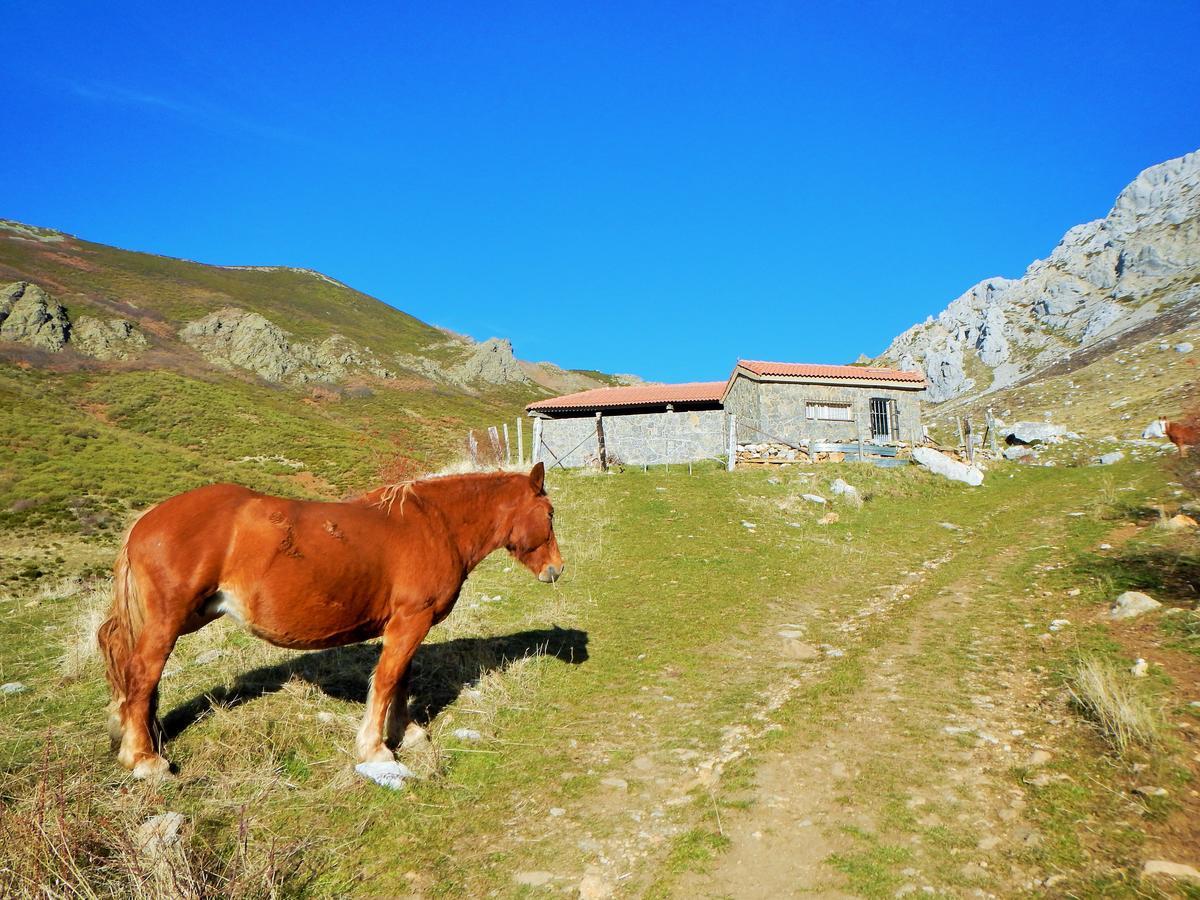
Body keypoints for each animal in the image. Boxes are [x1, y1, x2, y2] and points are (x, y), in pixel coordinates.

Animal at [97, 460, 561, 777]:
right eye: (551, 513)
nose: (556, 569)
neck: (434, 525)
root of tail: (146, 521)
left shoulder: (409, 623)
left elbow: (402, 677)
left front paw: (407, 731)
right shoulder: (410, 621)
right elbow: (388, 679)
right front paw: (376, 748)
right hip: (168, 622)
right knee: (141, 675)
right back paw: (144, 759)